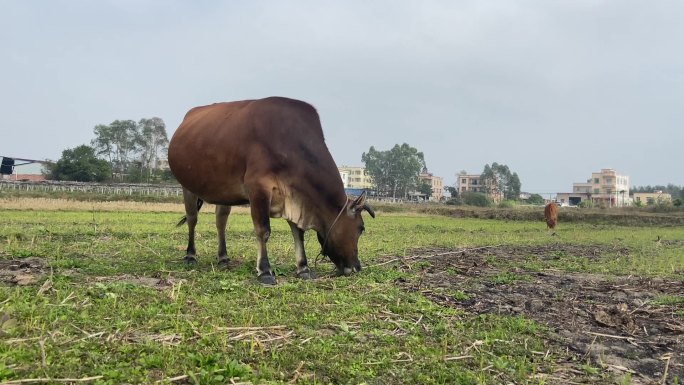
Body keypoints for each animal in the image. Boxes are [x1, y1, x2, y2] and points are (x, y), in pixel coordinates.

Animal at [168, 97, 376, 282]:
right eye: (361, 228)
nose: (356, 267)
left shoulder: (294, 196)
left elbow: (298, 233)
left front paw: (303, 268)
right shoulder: (258, 189)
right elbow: (263, 231)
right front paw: (265, 271)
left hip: (224, 192)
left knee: (221, 222)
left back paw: (223, 258)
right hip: (187, 187)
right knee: (192, 219)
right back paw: (190, 256)